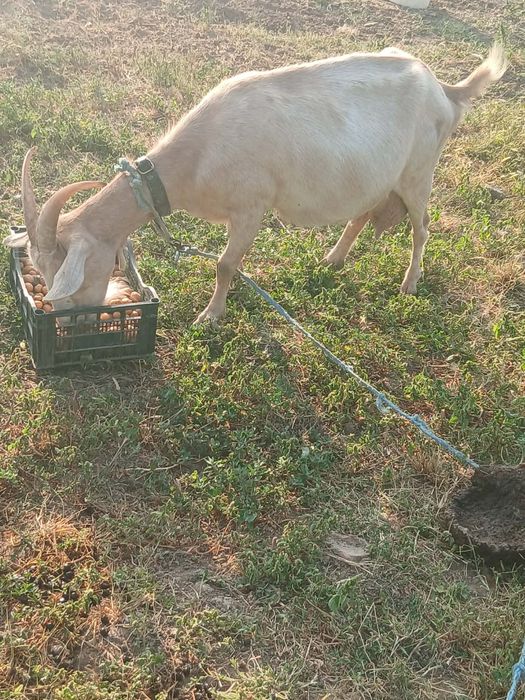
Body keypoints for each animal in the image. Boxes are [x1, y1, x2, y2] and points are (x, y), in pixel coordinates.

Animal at [4, 45, 507, 322]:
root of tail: (445, 89)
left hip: (419, 172)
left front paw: (210, 317)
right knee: (363, 212)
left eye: (67, 274)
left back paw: (409, 283)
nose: (67, 323)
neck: (199, 154)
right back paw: (334, 259)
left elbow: (225, 265)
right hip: (379, 176)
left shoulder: (251, 207)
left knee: (422, 228)